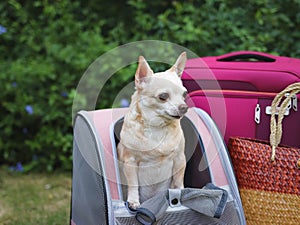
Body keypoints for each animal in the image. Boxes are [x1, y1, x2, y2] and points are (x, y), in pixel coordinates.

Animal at [117, 51, 188, 208]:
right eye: (163, 96)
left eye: (184, 94)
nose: (184, 107)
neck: (158, 127)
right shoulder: (130, 162)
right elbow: (133, 184)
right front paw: (133, 201)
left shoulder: (180, 159)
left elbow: (178, 180)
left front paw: (182, 193)